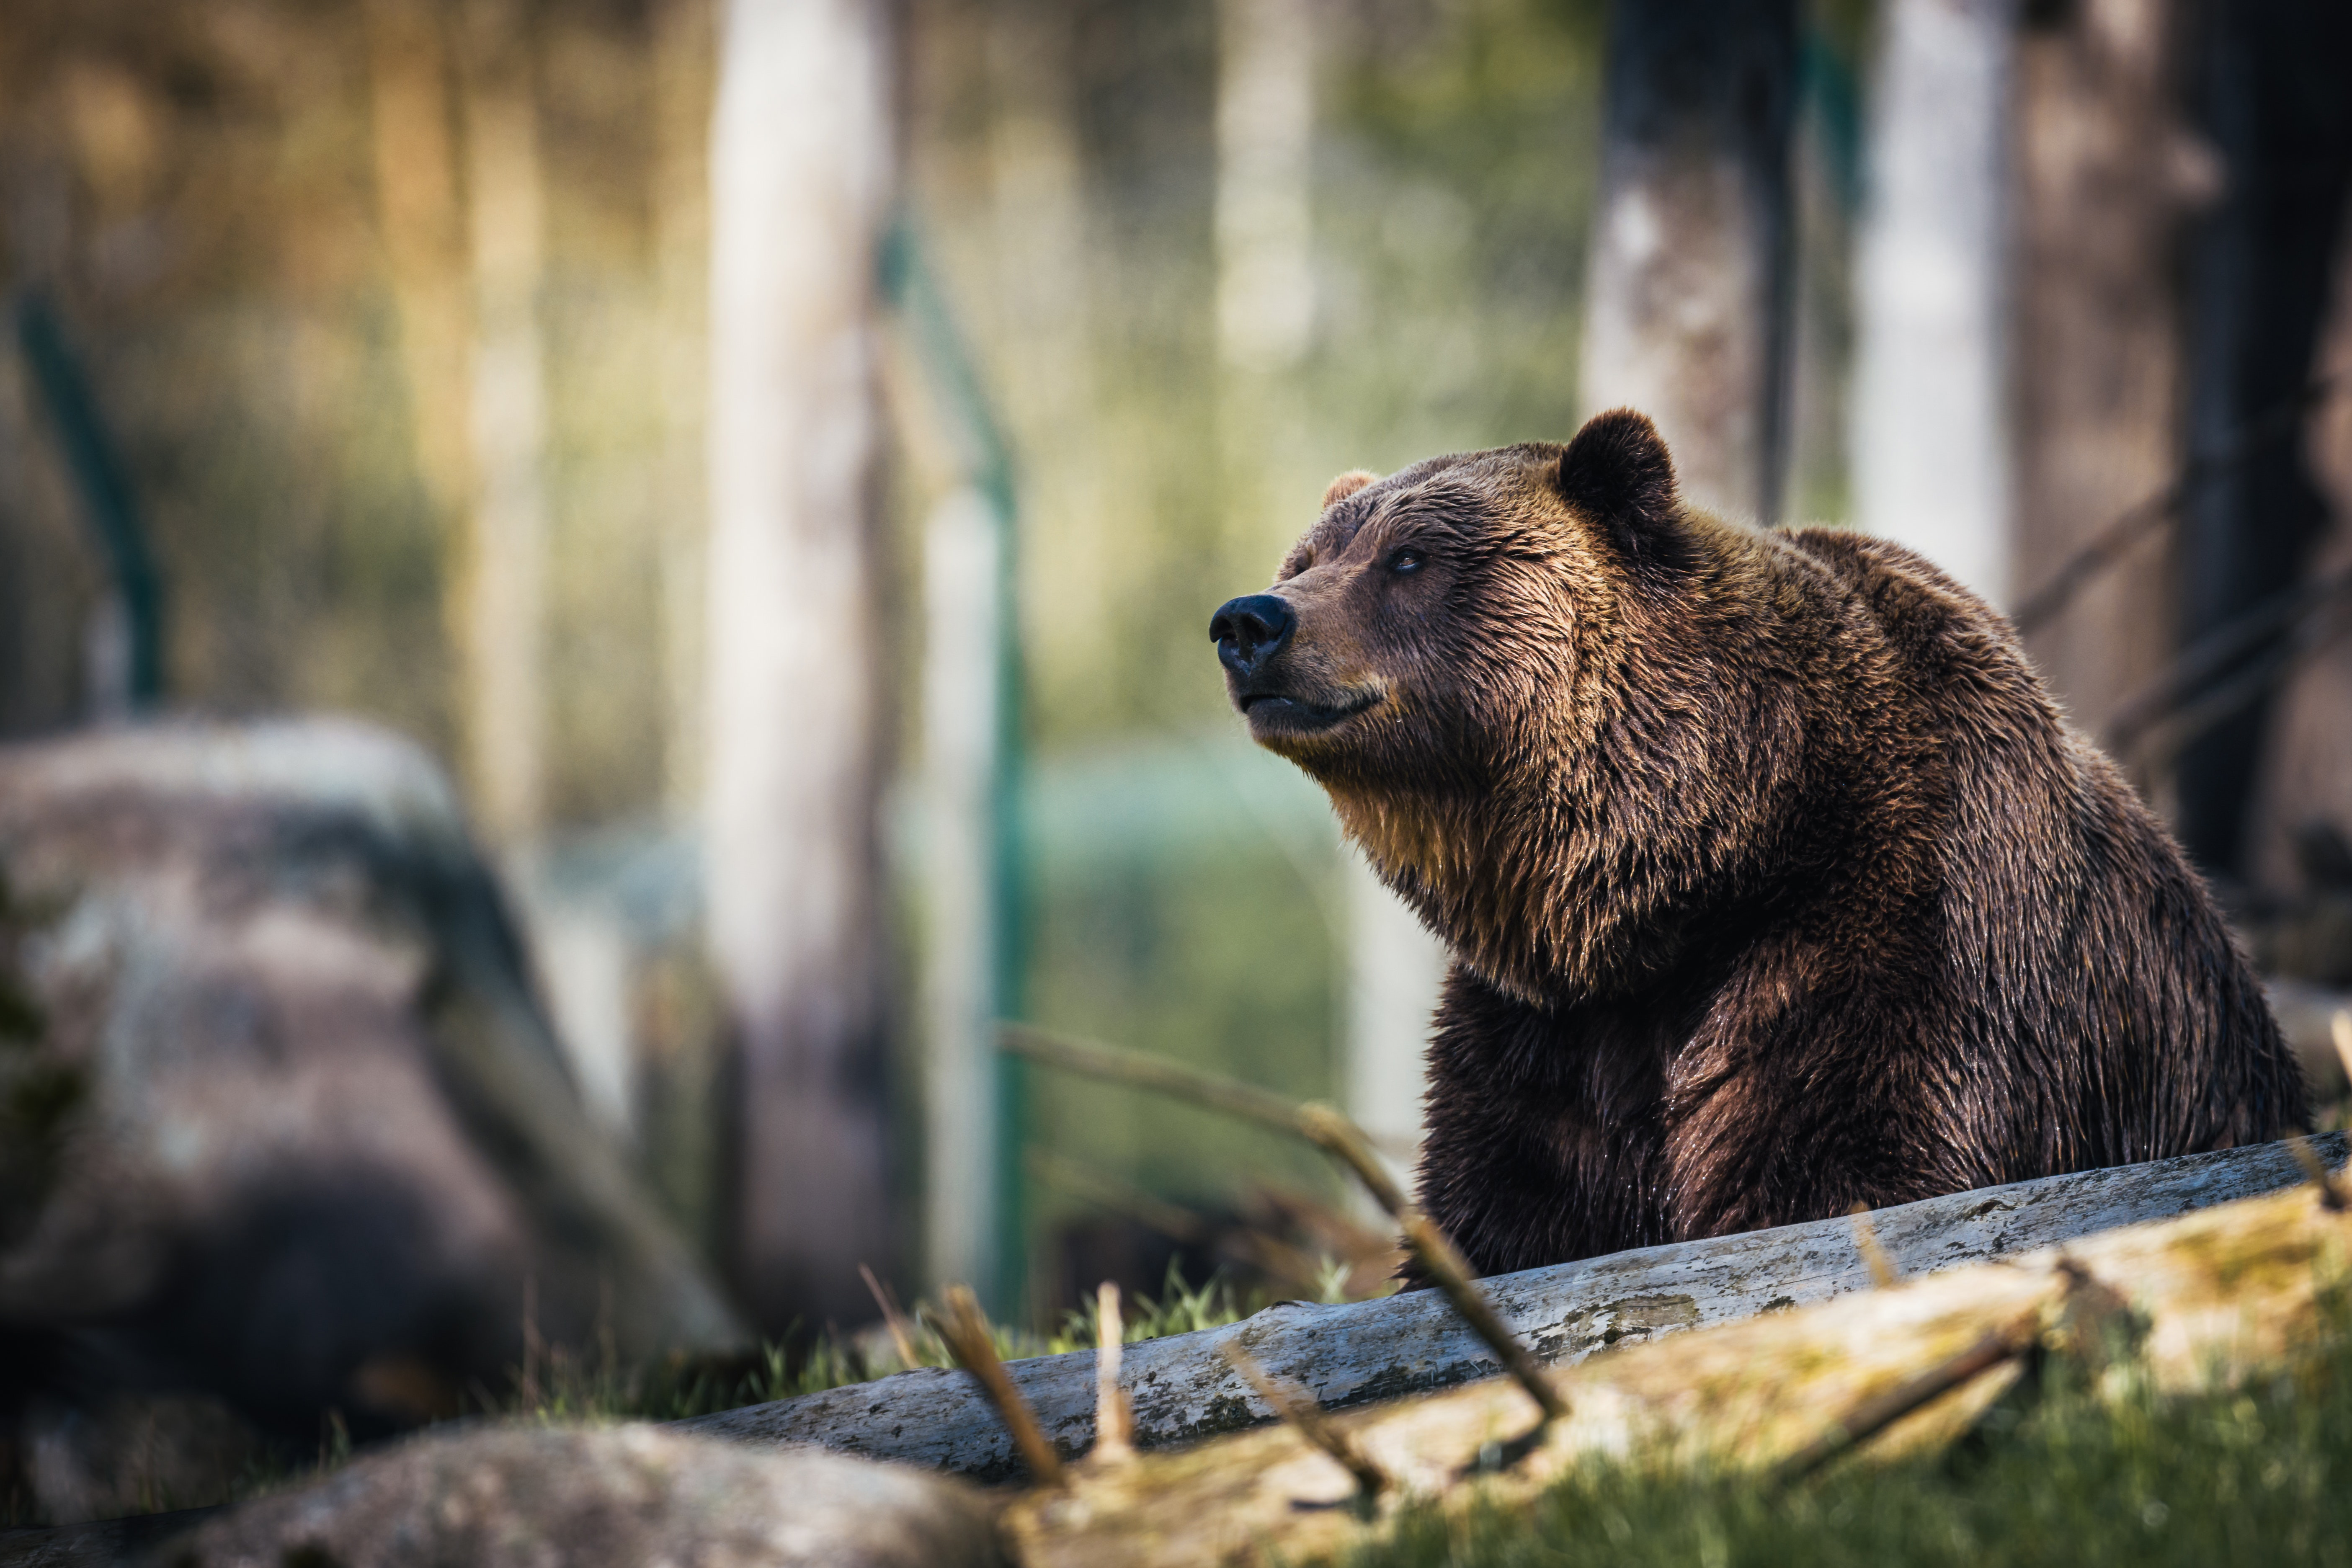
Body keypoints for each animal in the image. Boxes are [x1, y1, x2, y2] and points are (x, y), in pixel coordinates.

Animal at [1204, 411, 2305, 1279]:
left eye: (1409, 559)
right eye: (1306, 560)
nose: (1250, 620)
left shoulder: (1899, 927)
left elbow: (1842, 1164)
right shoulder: (1549, 1032)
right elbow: (1509, 1207)